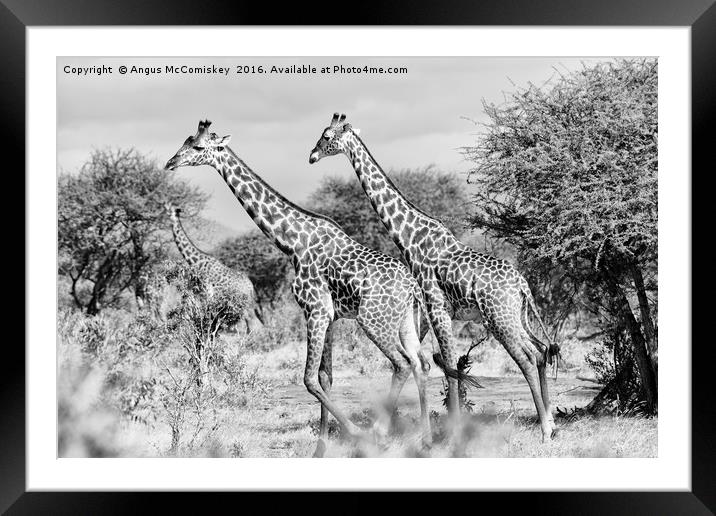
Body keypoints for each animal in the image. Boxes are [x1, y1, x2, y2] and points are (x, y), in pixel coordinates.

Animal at [166, 202, 266, 334]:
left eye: (169, 209)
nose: (166, 215)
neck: (198, 262)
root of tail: (251, 286)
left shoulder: (207, 294)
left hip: (243, 303)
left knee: (250, 321)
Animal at [308, 113, 560, 440]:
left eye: (326, 136)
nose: (311, 156)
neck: (411, 236)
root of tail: (522, 284)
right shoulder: (428, 311)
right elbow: (431, 361)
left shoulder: (435, 305)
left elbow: (446, 362)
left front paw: (451, 430)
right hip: (518, 316)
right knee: (540, 351)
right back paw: (551, 422)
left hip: (499, 318)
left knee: (527, 358)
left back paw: (544, 429)